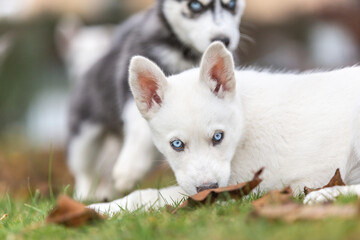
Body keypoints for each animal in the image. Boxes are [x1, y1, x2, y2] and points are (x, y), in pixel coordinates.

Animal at [67, 0, 245, 201]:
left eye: (231, 4)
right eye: (195, 6)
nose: (223, 39)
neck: (187, 54)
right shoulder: (132, 89)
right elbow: (140, 127)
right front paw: (128, 169)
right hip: (84, 137)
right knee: (85, 170)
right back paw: (85, 194)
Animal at [88, 42, 360, 214]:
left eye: (218, 137)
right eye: (176, 145)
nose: (207, 188)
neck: (244, 122)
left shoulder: (244, 183)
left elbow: (148, 195)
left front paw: (101, 208)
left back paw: (324, 195)